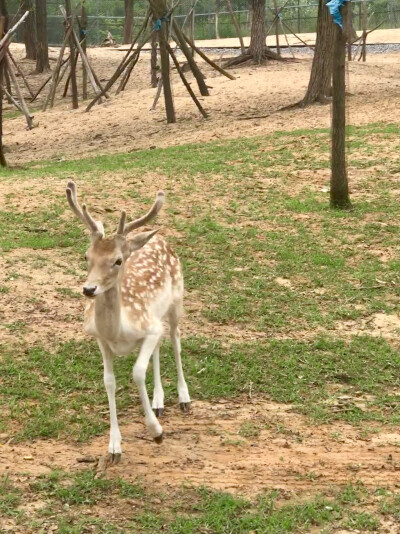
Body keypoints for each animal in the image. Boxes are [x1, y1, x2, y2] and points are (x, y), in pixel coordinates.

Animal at [65, 183, 191, 464]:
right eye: (86, 256)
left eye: (118, 260)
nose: (89, 289)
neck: (118, 331)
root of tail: (158, 238)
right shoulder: (101, 339)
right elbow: (109, 381)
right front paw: (114, 447)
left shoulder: (149, 329)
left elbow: (137, 372)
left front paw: (156, 432)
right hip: (156, 316)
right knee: (161, 345)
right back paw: (158, 401)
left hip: (176, 301)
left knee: (176, 340)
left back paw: (184, 398)